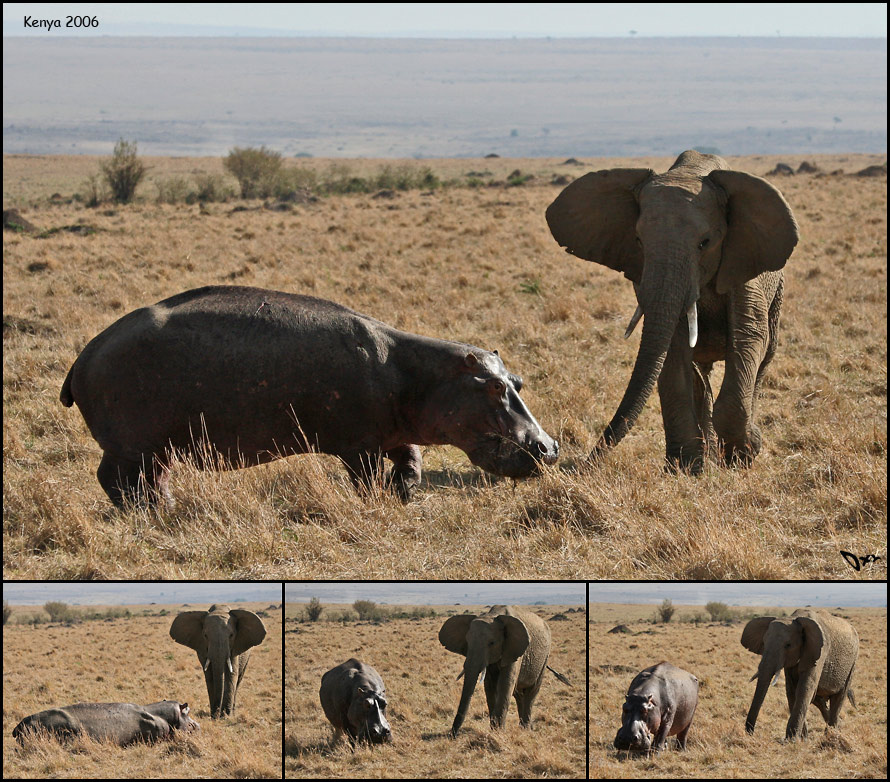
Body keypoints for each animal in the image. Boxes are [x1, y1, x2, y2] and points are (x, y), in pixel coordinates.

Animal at [438, 605, 569, 737]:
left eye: (492, 643)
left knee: (531, 692)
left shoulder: (514, 649)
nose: (453, 735)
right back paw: (523, 728)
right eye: (467, 641)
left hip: (544, 658)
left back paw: (526, 729)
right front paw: (494, 730)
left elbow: (505, 684)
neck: (493, 615)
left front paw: (499, 731)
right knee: (519, 695)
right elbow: (489, 686)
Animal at [546, 150, 799, 473]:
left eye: (705, 243)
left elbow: (747, 338)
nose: (572, 463)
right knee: (699, 375)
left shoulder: (744, 266)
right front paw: (685, 468)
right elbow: (672, 351)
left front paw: (744, 456)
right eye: (638, 241)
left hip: (777, 292)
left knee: (764, 357)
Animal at [741, 608, 858, 740]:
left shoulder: (820, 651)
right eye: (764, 643)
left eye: (788, 645)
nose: (750, 733)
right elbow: (791, 690)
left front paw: (791, 740)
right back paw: (837, 728)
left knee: (838, 698)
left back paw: (831, 735)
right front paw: (802, 739)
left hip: (852, 664)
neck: (793, 618)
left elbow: (805, 687)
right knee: (818, 700)